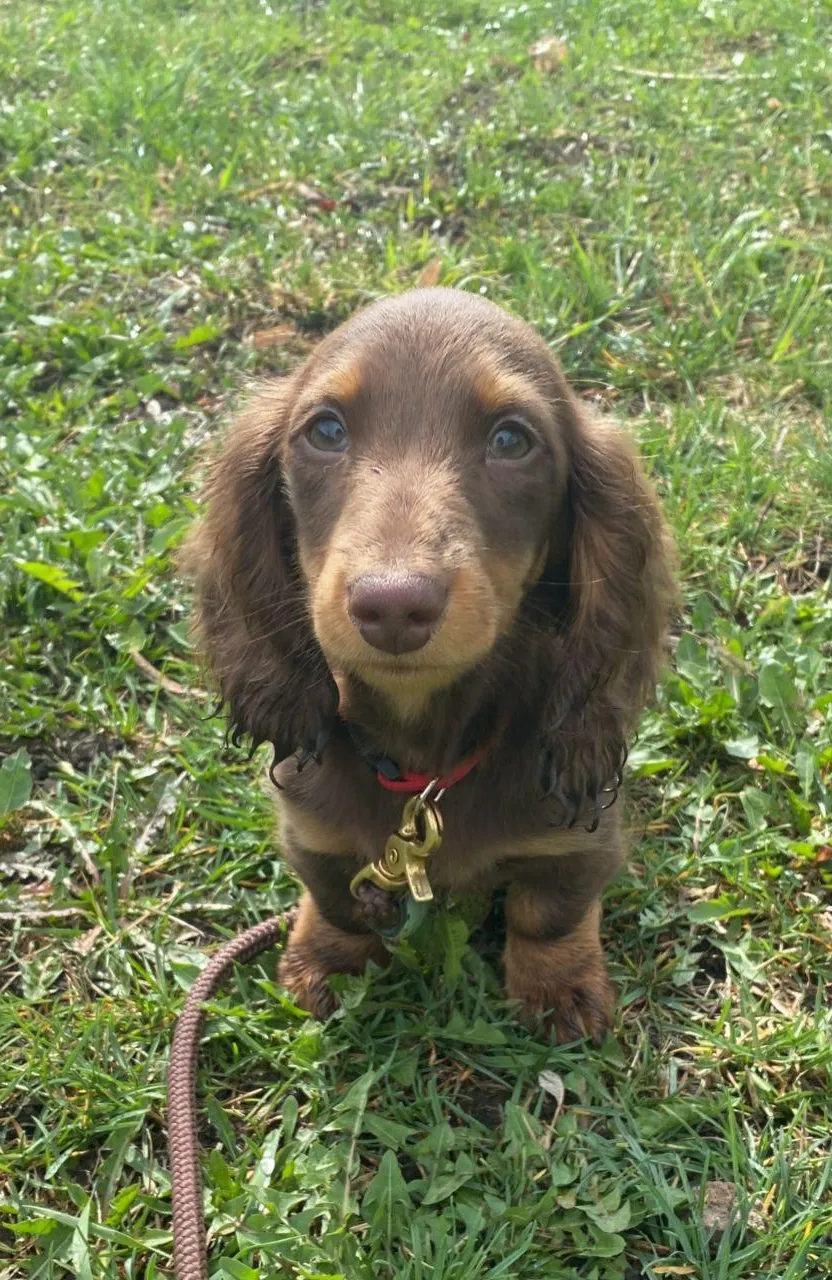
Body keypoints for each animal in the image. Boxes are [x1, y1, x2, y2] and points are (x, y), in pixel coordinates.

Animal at [183, 288, 675, 1039]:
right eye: (326, 431)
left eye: (511, 441)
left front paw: (560, 986)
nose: (392, 605)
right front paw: (326, 960)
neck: (422, 763)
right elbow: (335, 897)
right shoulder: (313, 831)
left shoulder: (575, 837)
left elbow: (549, 911)